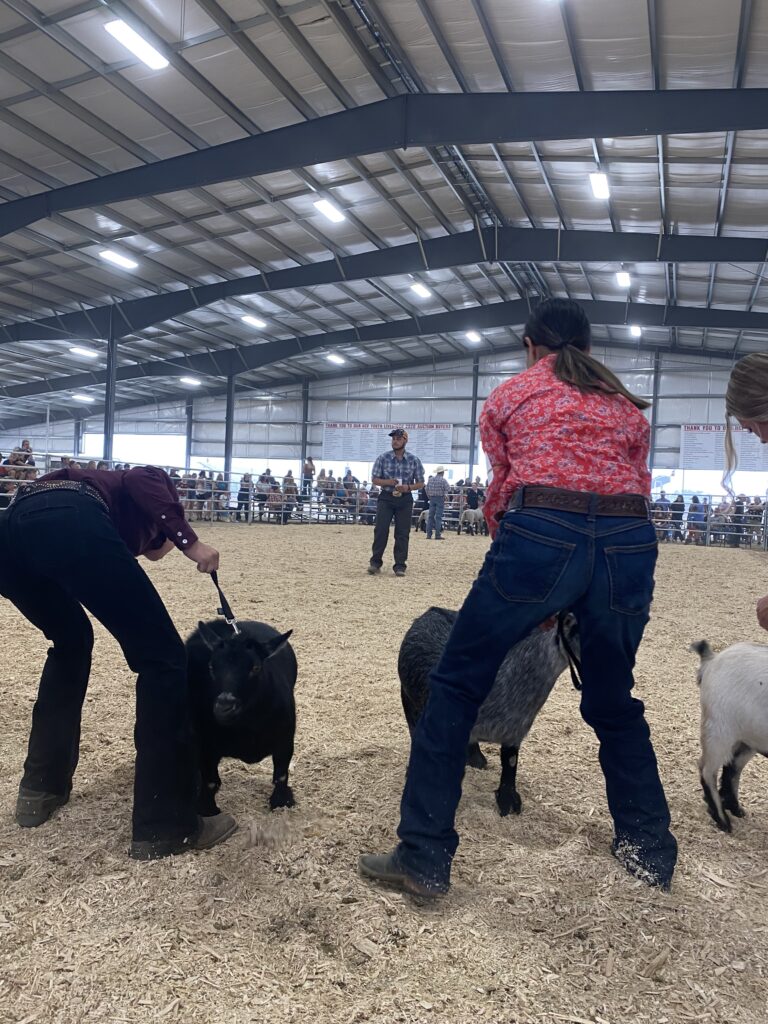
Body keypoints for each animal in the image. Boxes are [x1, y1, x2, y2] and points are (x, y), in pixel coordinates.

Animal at [692, 638, 768, 831]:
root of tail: (712, 660)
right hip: (719, 730)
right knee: (708, 769)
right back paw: (722, 819)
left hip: (749, 737)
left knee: (733, 766)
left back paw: (734, 807)